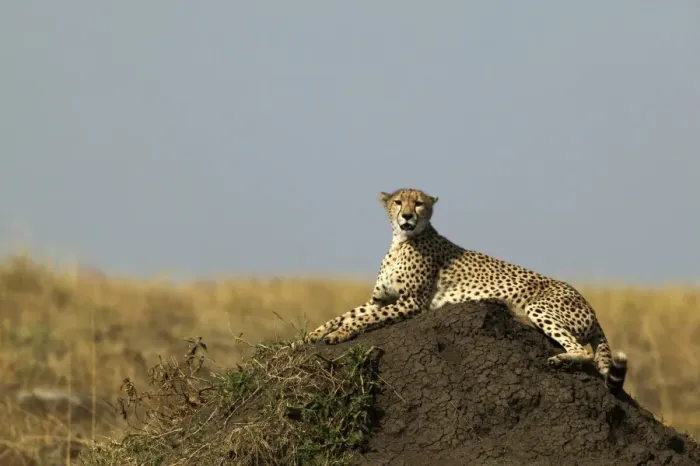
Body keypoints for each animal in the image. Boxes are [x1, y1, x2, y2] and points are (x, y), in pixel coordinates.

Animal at [306, 188, 628, 395]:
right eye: (398, 202)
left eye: (419, 203)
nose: (407, 216)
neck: (402, 241)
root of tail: (591, 308)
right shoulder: (379, 300)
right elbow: (347, 314)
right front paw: (313, 335)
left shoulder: (413, 303)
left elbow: (362, 319)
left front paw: (340, 334)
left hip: (541, 307)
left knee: (582, 350)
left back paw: (556, 356)